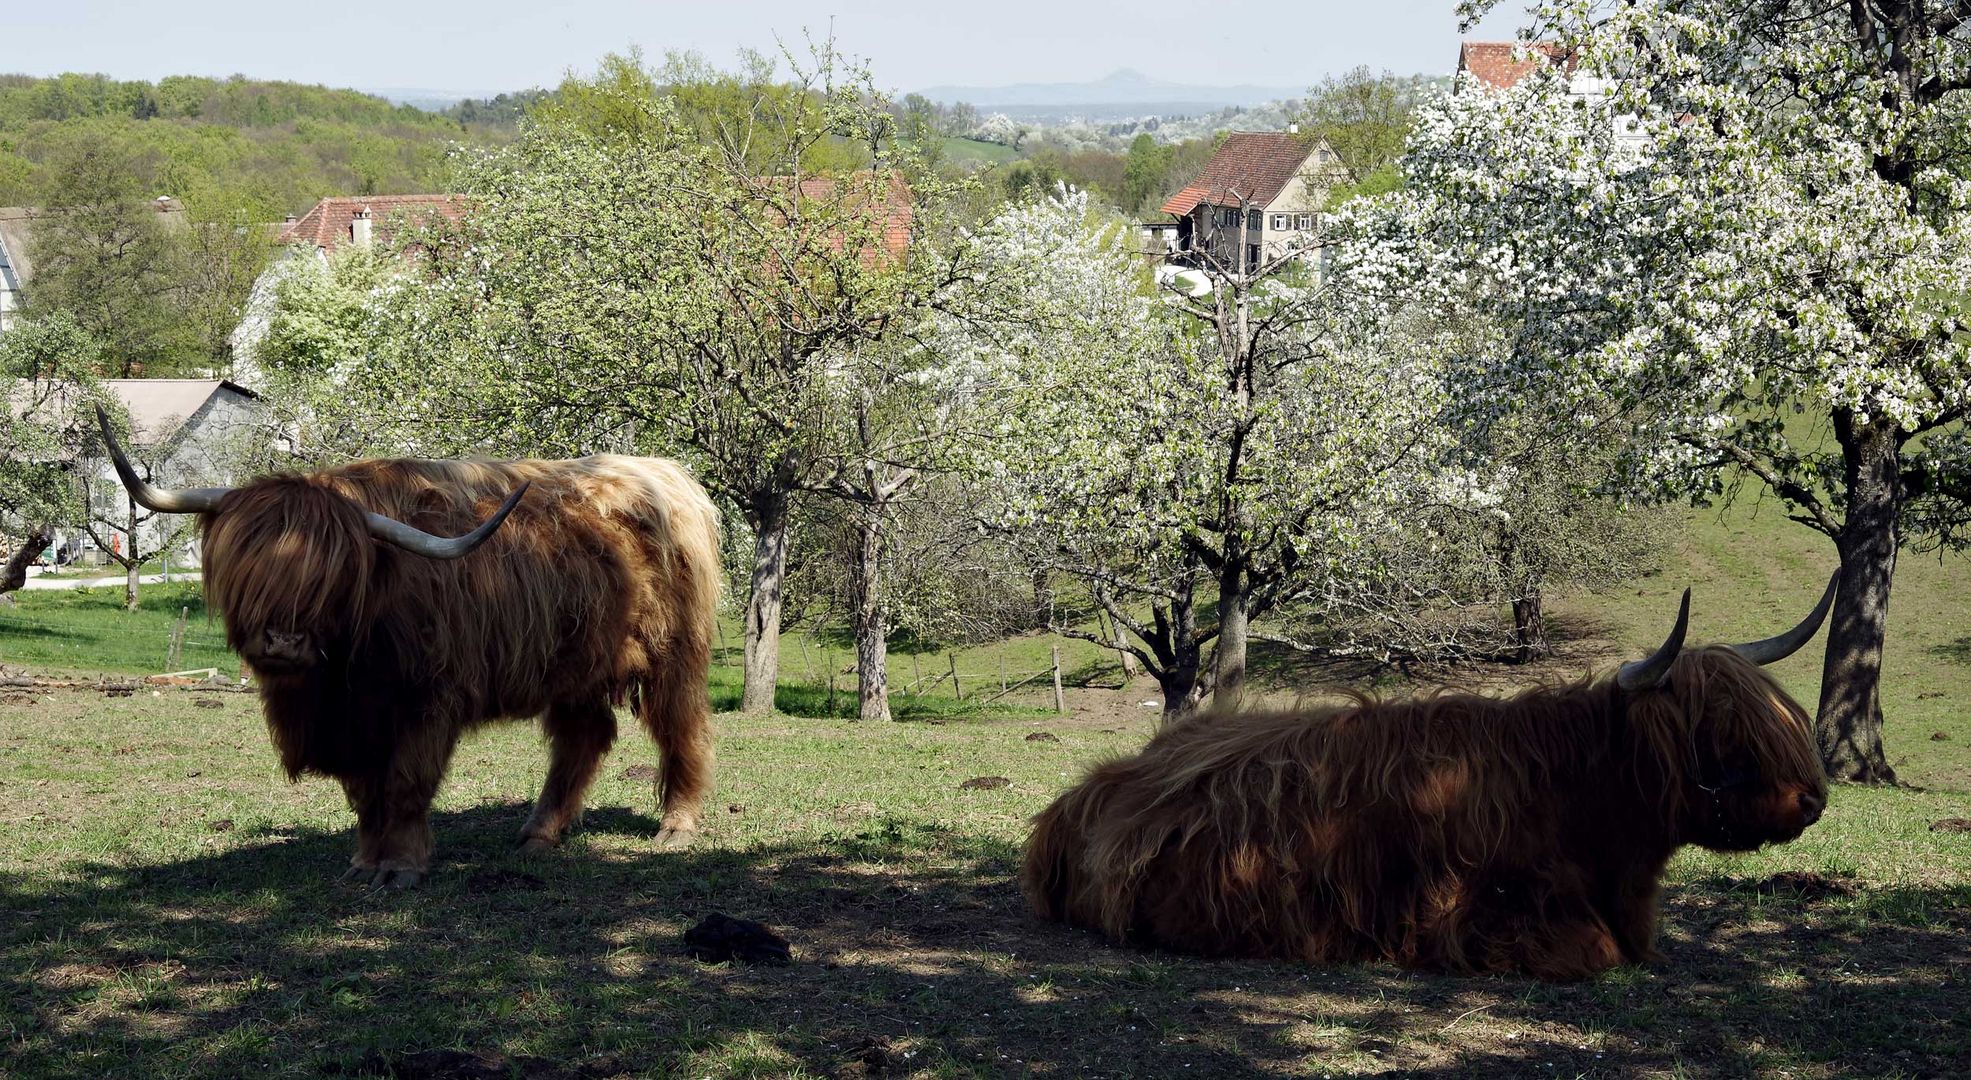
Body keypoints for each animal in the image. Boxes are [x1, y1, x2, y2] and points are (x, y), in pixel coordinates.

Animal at [96, 405, 721, 886]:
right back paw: (538, 834)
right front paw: (363, 863)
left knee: (680, 727)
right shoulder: (355, 723)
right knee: (582, 737)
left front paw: (399, 869)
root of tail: (667, 476)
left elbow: (403, 785)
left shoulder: (428, 700)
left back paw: (676, 827)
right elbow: (364, 794)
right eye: (248, 568)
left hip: (672, 653)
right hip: (575, 662)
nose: (283, 641)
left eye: (331, 576)